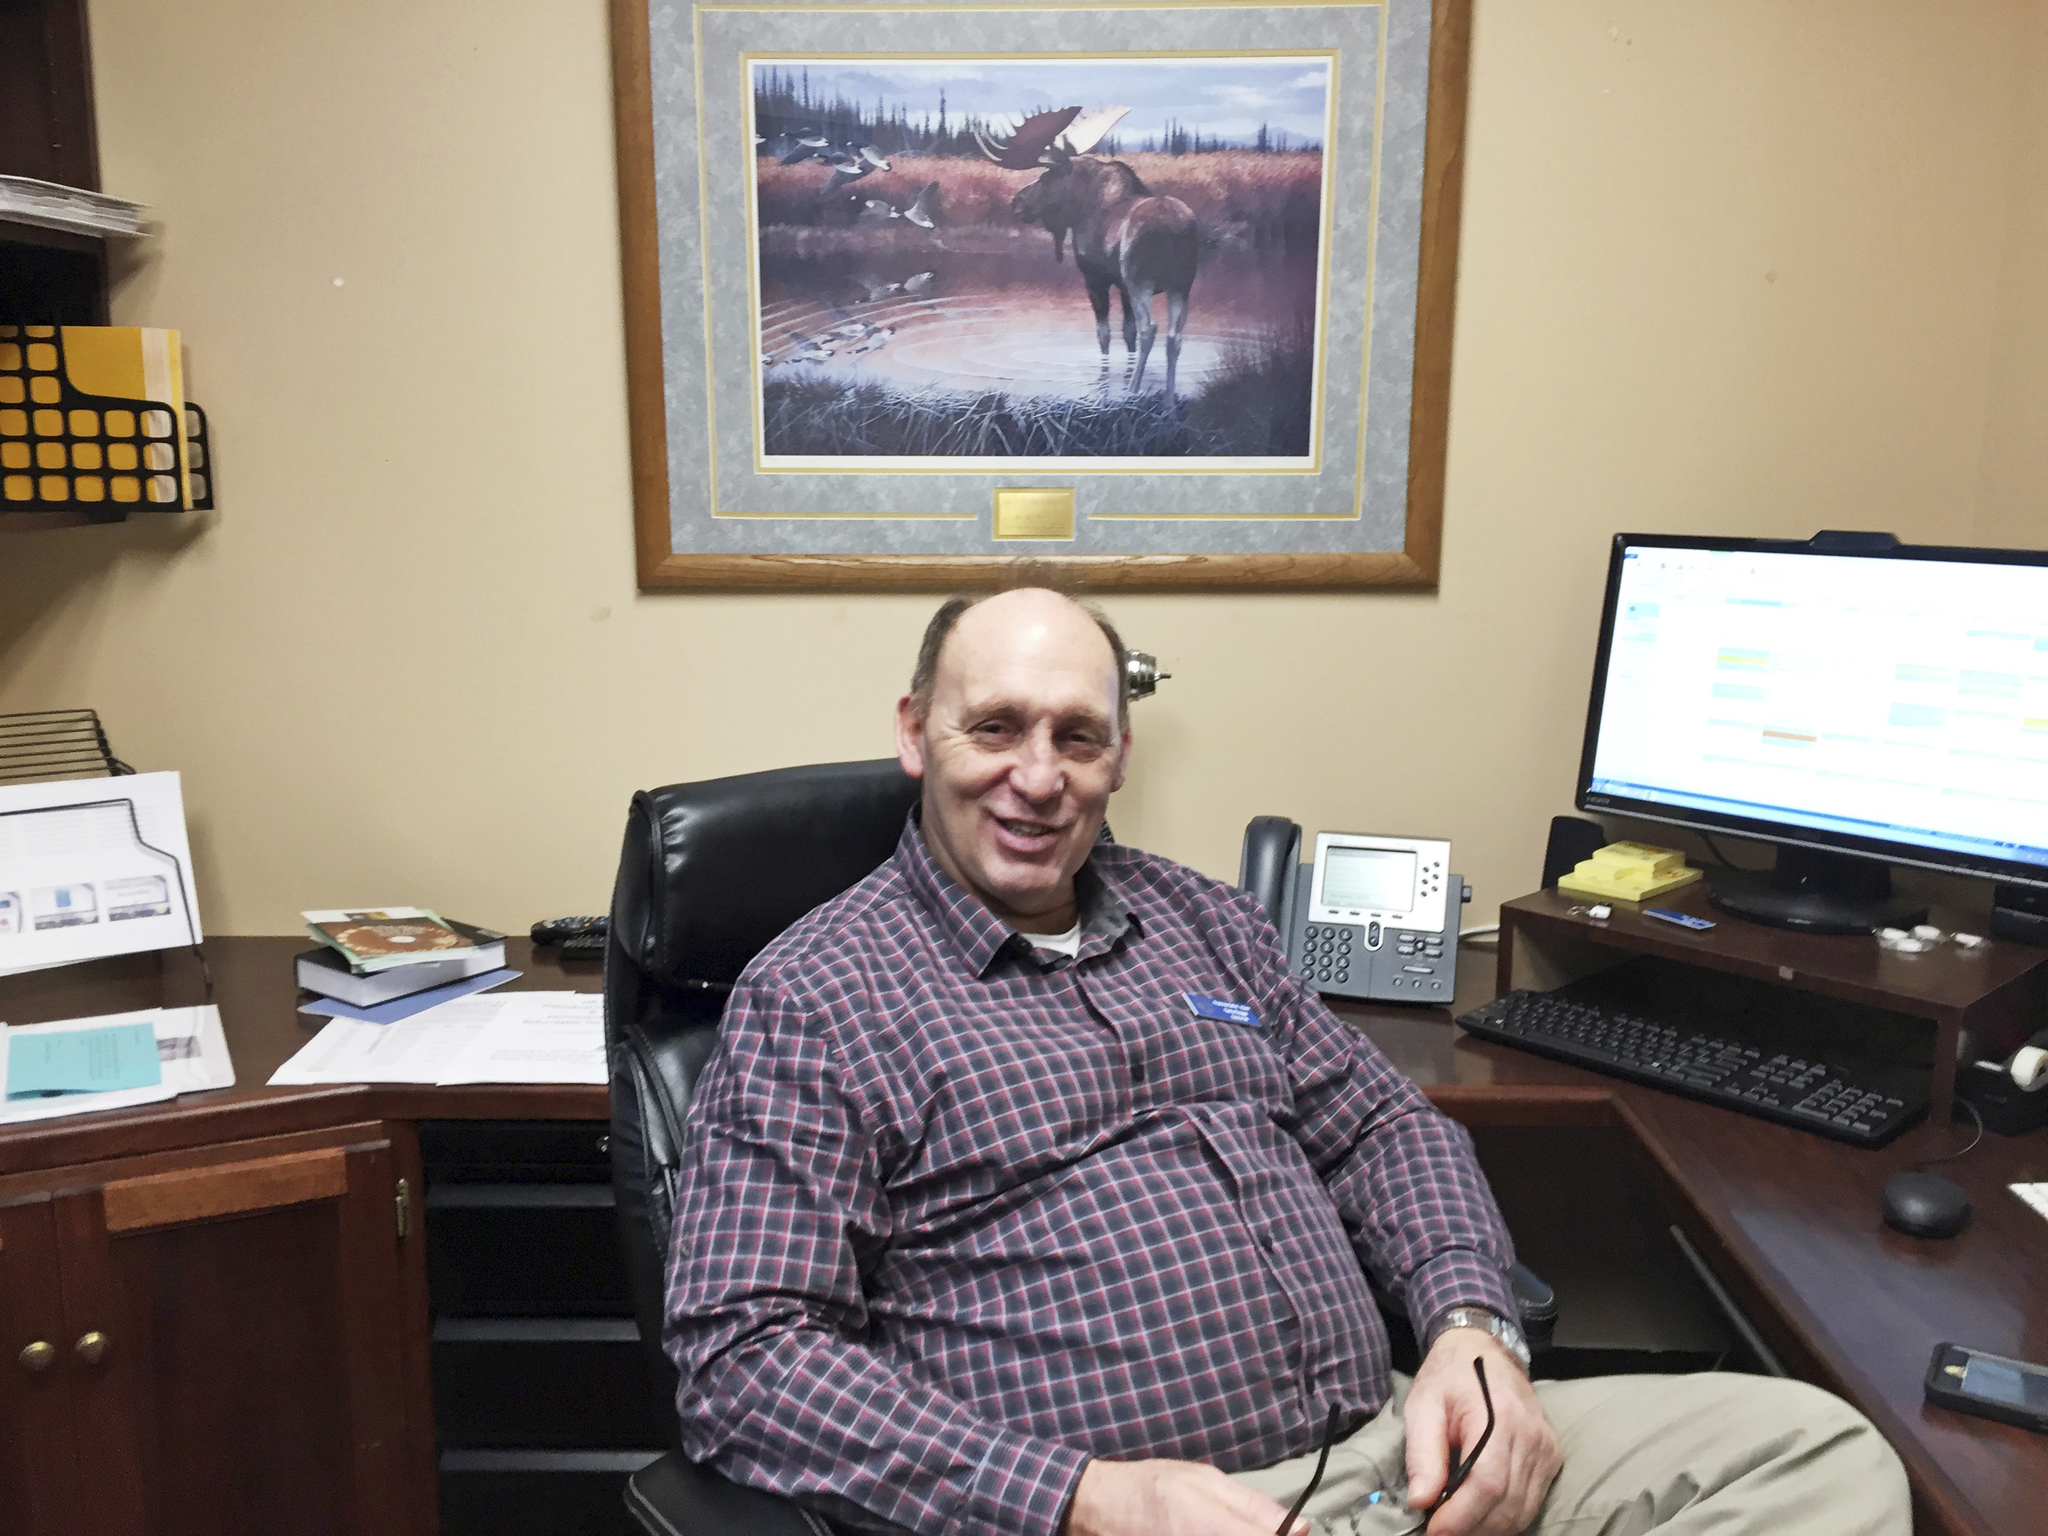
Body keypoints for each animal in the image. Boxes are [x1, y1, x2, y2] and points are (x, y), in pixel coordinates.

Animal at [974, 107, 1196, 397]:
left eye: (1046, 176)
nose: (1017, 202)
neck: (1081, 209)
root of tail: (1176, 231)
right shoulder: (1122, 286)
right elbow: (1127, 333)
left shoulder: (1095, 278)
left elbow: (1106, 334)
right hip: (1181, 284)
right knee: (1174, 337)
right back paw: (1169, 394)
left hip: (1142, 281)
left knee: (1150, 328)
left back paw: (1133, 389)